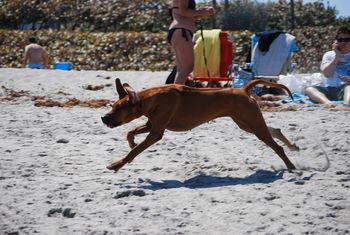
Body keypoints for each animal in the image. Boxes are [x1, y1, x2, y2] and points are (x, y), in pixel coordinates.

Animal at [102, 78, 298, 172]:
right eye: (112, 106)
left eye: (118, 108)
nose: (103, 118)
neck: (150, 99)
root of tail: (243, 89)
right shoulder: (152, 125)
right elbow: (130, 132)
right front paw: (131, 142)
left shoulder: (156, 132)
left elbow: (134, 152)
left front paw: (117, 164)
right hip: (247, 123)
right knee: (274, 130)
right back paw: (292, 146)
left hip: (252, 122)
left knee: (277, 147)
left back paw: (291, 166)